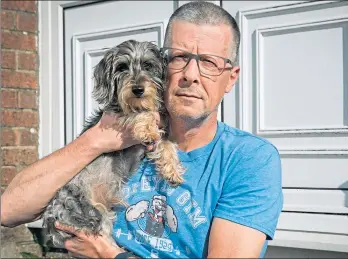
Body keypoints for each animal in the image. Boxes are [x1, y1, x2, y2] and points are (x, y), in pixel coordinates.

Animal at [41, 40, 185, 250]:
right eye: (122, 67)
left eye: (148, 65)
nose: (138, 90)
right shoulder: (117, 114)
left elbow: (166, 144)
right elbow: (140, 115)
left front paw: (172, 171)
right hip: (94, 215)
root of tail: (51, 218)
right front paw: (147, 128)